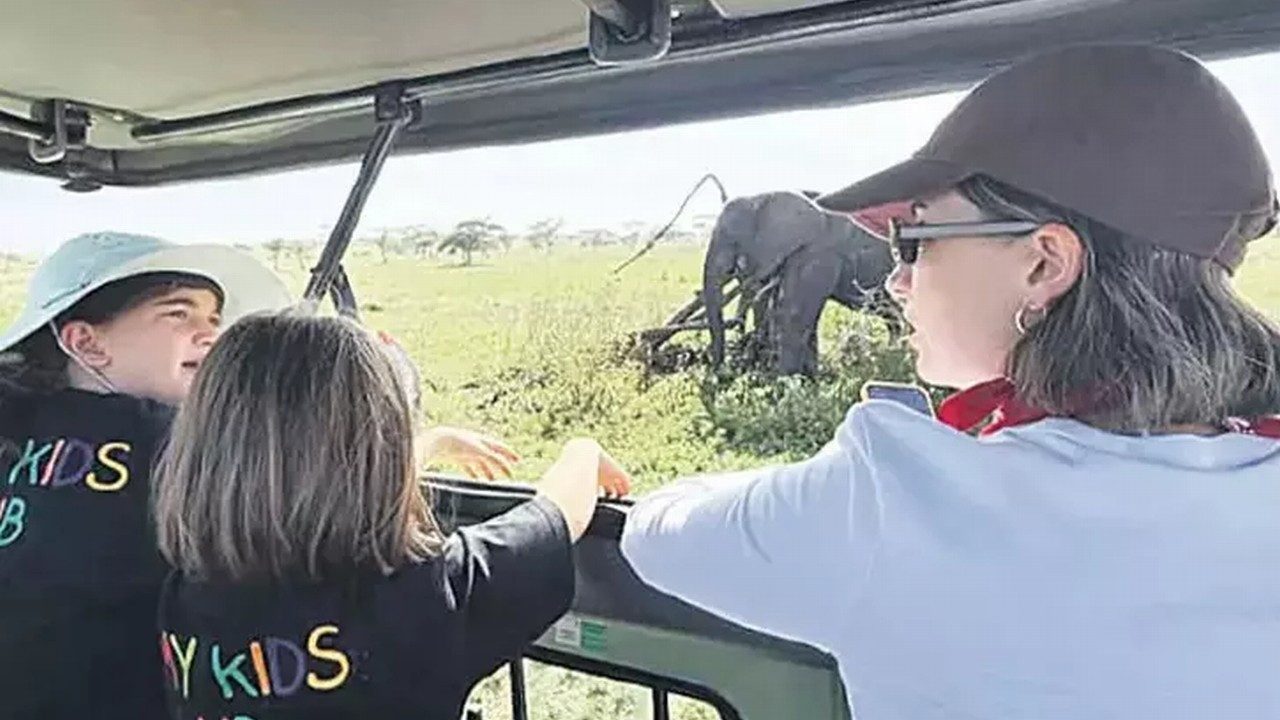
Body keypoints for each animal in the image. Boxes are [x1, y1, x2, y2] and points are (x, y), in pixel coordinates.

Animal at [701, 190, 898, 375]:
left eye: (732, 239)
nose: (720, 373)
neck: (763, 196)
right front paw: (809, 378)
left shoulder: (818, 254)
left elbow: (794, 313)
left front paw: (786, 381)